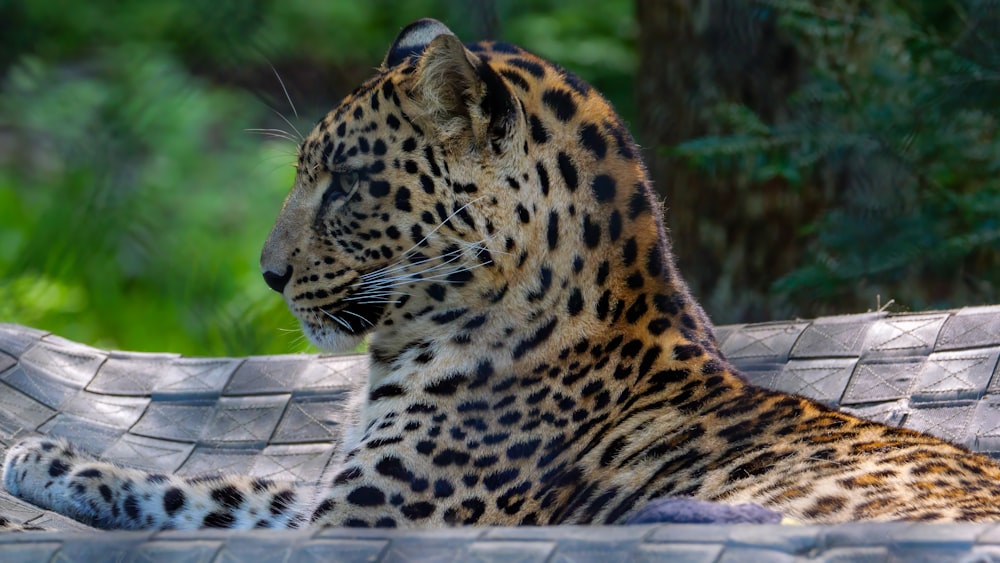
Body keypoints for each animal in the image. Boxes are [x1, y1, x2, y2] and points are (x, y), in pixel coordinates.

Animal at [5, 16, 1000, 528]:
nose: (269, 274)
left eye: (346, 184)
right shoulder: (328, 497)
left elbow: (223, 501)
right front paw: (47, 459)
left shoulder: (366, 525)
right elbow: (219, 486)